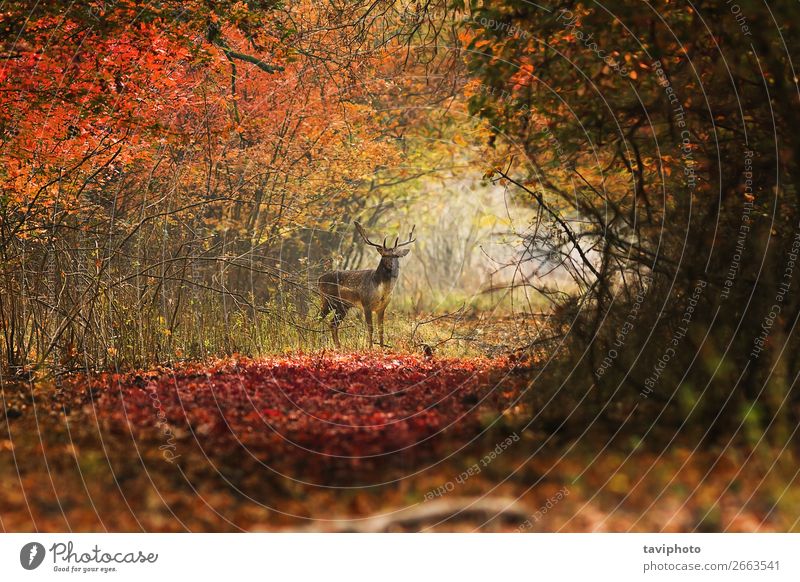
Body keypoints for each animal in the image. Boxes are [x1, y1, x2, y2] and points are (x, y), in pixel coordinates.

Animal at [320, 221, 418, 350]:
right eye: (384, 255)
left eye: (396, 256)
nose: (392, 265)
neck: (381, 291)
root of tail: (319, 279)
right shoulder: (366, 304)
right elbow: (370, 328)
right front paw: (370, 348)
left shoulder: (382, 307)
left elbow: (381, 329)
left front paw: (382, 348)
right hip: (328, 300)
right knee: (317, 318)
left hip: (342, 306)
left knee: (332, 324)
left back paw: (338, 347)